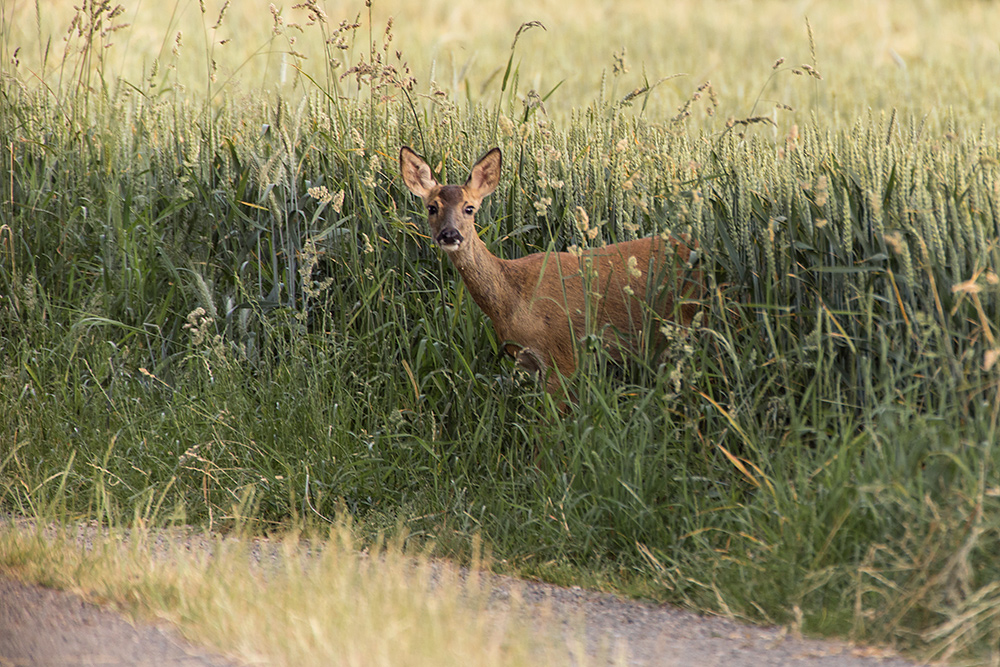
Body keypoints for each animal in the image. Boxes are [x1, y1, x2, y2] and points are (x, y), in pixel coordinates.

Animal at [398, 145, 704, 396]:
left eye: (469, 208)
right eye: (432, 207)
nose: (450, 235)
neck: (515, 301)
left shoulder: (564, 356)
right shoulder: (529, 363)